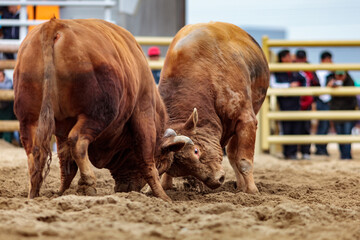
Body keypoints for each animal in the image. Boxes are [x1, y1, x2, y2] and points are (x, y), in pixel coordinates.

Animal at [13, 18, 194, 202]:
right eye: (162, 163)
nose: (127, 189)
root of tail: (54, 26)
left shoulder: (62, 128)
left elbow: (66, 164)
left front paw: (61, 192)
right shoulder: (143, 111)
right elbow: (147, 157)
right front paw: (163, 196)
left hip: (29, 119)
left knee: (35, 152)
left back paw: (34, 192)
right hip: (98, 114)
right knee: (77, 141)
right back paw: (88, 182)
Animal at [159, 21, 268, 193]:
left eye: (196, 150)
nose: (217, 180)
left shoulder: (246, 120)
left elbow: (243, 161)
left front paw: (251, 190)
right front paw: (165, 186)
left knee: (233, 155)